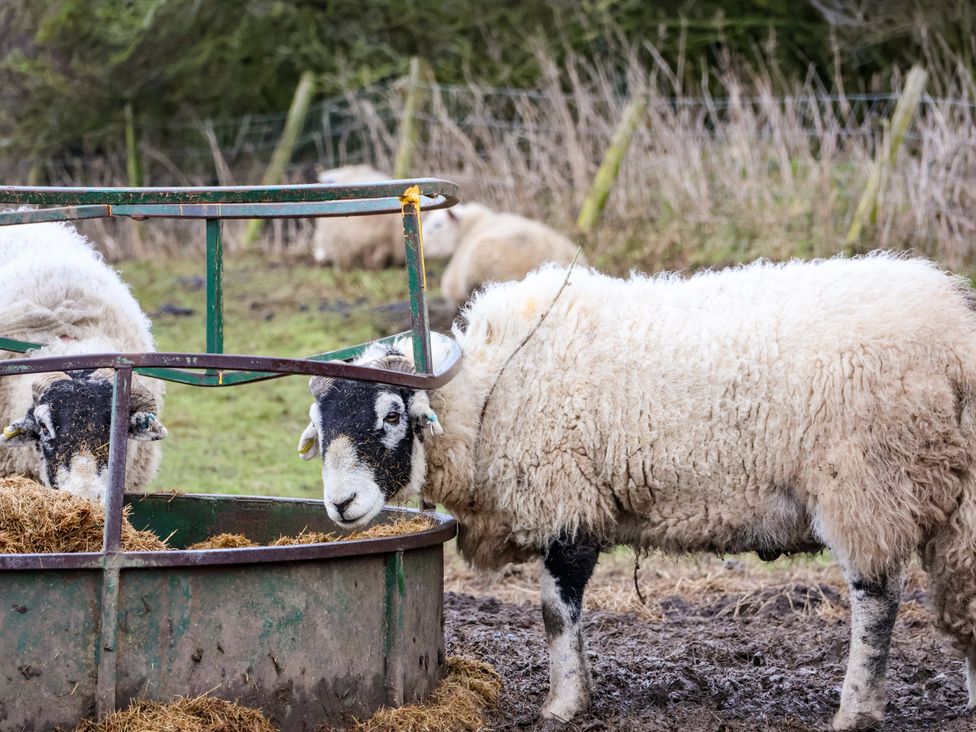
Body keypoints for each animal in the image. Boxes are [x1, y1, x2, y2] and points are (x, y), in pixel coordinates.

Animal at [298, 254, 976, 730]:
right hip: (952, 494)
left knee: (877, 600)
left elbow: (555, 612)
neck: (490, 395)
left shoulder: (567, 501)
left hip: (867, 483)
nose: (341, 506)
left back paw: (855, 710)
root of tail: (954, 337)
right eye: (321, 426)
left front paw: (564, 704)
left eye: (391, 415)